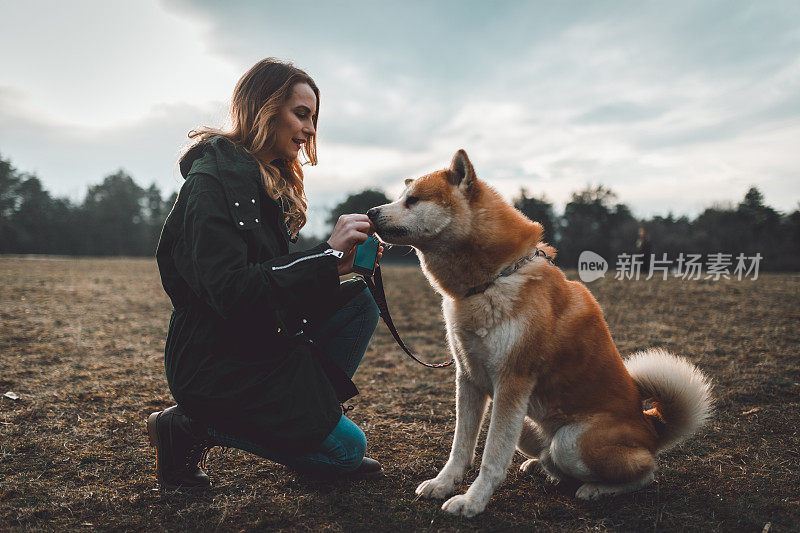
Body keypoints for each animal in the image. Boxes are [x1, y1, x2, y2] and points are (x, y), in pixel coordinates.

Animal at [368, 150, 712, 516]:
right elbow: (460, 448)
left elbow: (492, 457)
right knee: (550, 459)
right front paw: (442, 484)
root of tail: (652, 426)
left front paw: (473, 502)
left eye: (412, 200)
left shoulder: (511, 383)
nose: (370, 212)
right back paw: (539, 466)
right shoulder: (469, 379)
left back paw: (596, 488)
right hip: (526, 429)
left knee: (645, 472)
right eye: (400, 197)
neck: (491, 282)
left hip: (571, 441)